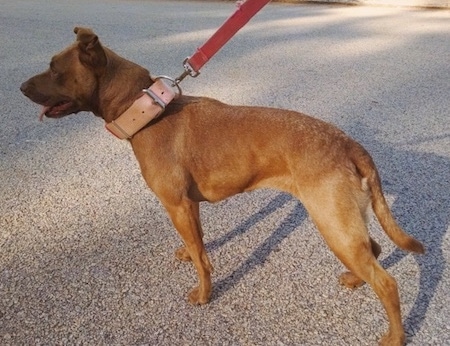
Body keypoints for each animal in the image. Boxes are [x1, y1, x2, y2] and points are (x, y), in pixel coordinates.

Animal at [20, 27, 422, 346]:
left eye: (54, 68)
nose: (20, 87)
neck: (146, 111)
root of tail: (349, 144)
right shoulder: (188, 205)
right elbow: (196, 243)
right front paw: (189, 255)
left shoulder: (176, 204)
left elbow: (203, 260)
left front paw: (203, 294)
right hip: (343, 222)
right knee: (374, 250)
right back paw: (355, 280)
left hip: (332, 222)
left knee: (387, 282)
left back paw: (394, 337)